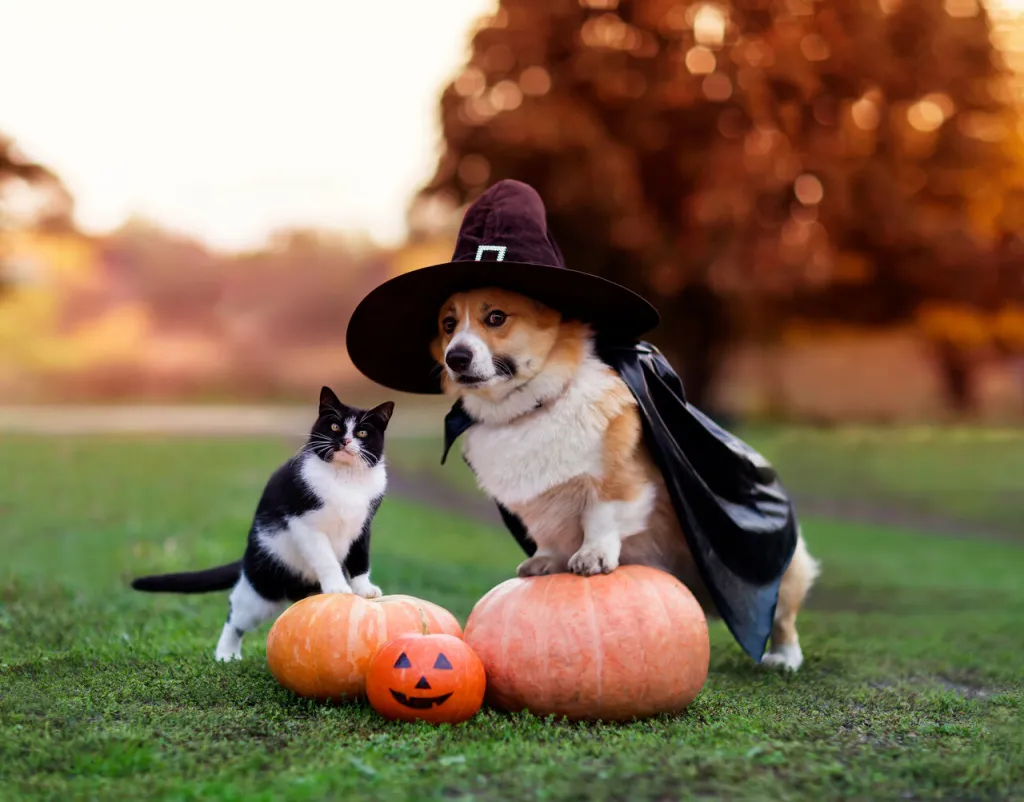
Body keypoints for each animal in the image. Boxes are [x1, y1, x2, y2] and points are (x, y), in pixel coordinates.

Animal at [132, 387, 395, 659]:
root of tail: (247, 558)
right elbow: (326, 558)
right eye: (334, 426)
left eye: (362, 432)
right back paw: (226, 655)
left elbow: (360, 560)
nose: (344, 441)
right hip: (263, 584)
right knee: (236, 614)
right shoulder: (305, 523)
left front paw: (364, 590)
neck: (345, 479)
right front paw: (337, 588)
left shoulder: (363, 526)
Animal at [428, 288, 819, 671]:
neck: (531, 407)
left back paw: (784, 658)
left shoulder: (617, 480)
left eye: (496, 317)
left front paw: (593, 556)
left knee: (782, 618)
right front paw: (545, 562)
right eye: (448, 324)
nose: (455, 358)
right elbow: (548, 536)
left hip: (781, 573)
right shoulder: (537, 505)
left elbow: (601, 517)